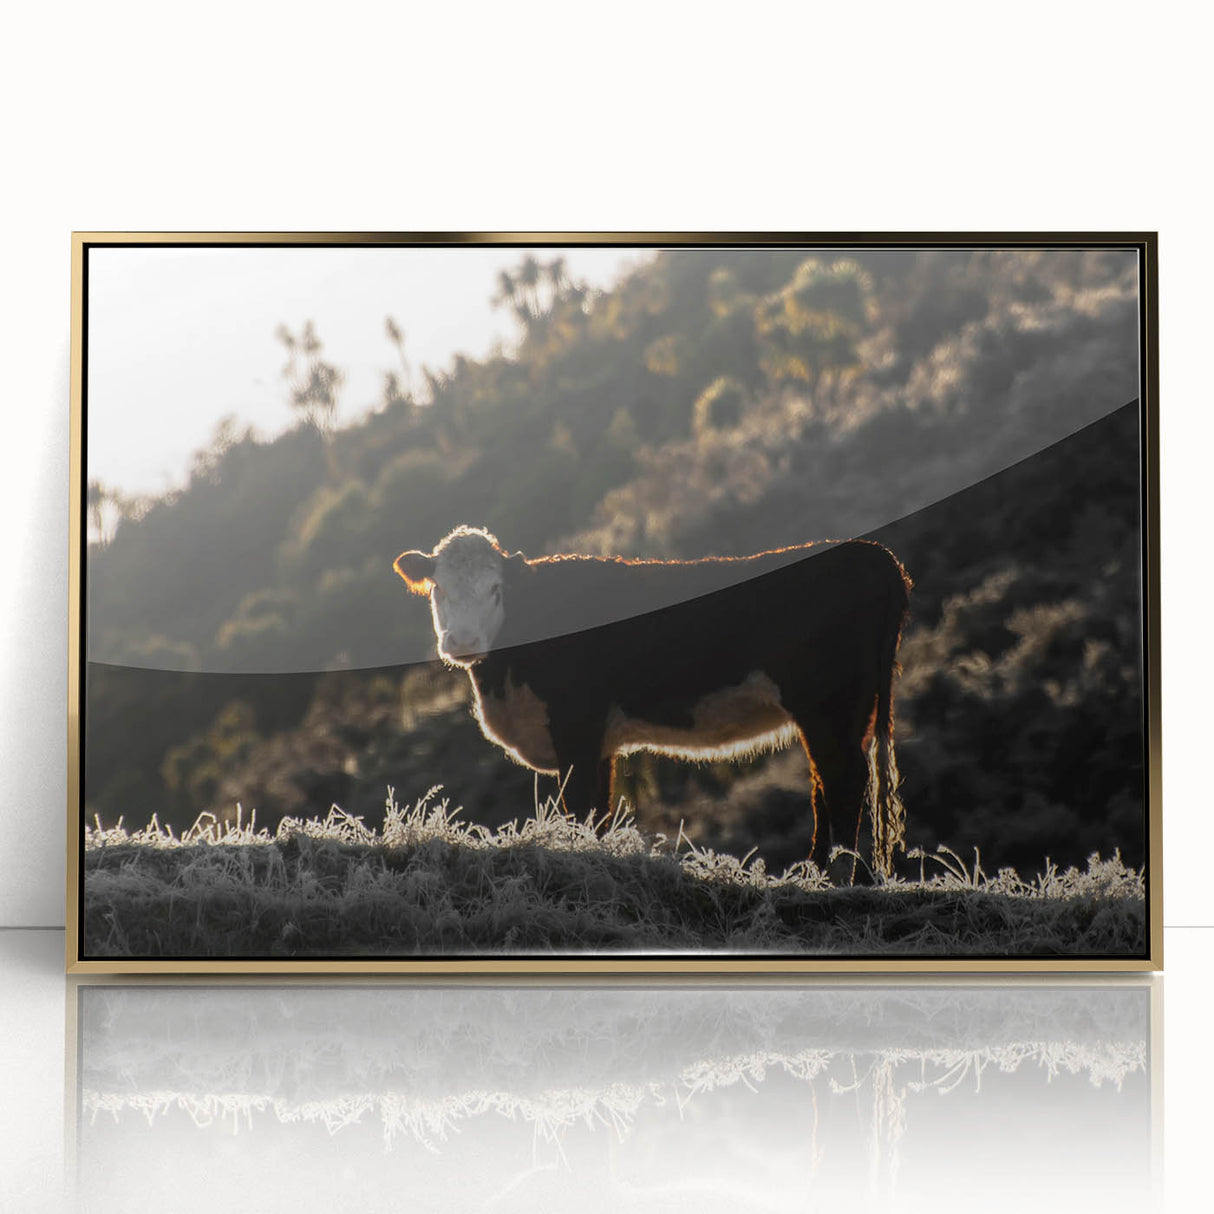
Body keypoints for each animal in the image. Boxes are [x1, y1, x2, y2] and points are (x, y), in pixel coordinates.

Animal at [394, 525, 911, 882]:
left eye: (496, 589)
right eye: (439, 588)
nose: (462, 642)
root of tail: (871, 553)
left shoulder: (576, 727)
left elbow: (579, 805)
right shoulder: (599, 743)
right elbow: (598, 810)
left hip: (828, 704)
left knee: (843, 780)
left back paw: (831, 876)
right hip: (844, 711)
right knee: (829, 782)